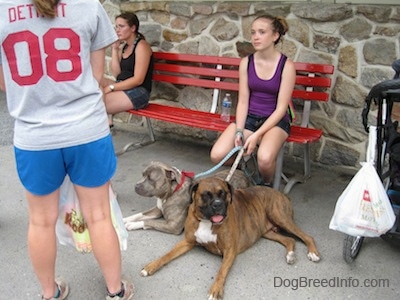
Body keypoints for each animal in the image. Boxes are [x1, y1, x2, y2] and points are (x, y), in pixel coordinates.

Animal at [142, 177, 320, 298]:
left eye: (224, 194)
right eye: (206, 195)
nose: (218, 204)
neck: (206, 221)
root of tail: (281, 193)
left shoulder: (229, 251)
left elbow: (221, 271)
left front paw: (215, 290)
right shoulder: (187, 242)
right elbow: (166, 255)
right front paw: (151, 266)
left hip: (280, 217)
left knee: (307, 236)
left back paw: (313, 253)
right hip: (267, 231)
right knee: (289, 239)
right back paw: (290, 255)